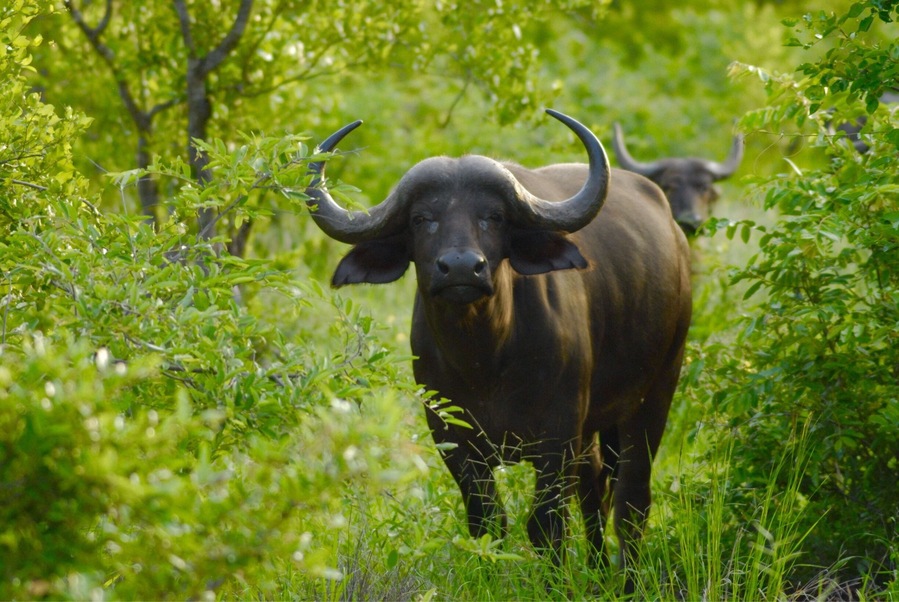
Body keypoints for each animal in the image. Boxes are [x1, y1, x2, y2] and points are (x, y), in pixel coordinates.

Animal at [305, 110, 692, 588]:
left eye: (493, 216)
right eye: (421, 218)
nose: (461, 267)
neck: (487, 359)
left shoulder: (558, 434)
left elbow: (546, 523)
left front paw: (554, 583)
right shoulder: (452, 437)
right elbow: (487, 522)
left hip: (656, 392)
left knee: (631, 498)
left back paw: (628, 580)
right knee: (594, 488)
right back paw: (600, 570)